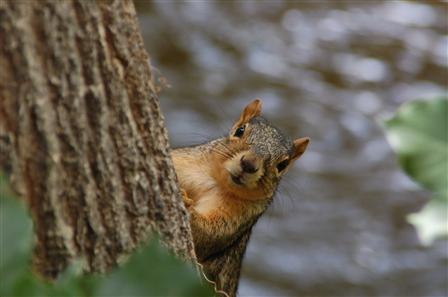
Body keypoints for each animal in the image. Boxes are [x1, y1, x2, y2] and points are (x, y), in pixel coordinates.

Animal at [170, 99, 310, 292]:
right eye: (240, 130)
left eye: (283, 164)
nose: (249, 164)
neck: (213, 181)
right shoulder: (181, 161)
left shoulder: (238, 218)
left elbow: (206, 235)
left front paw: (186, 203)